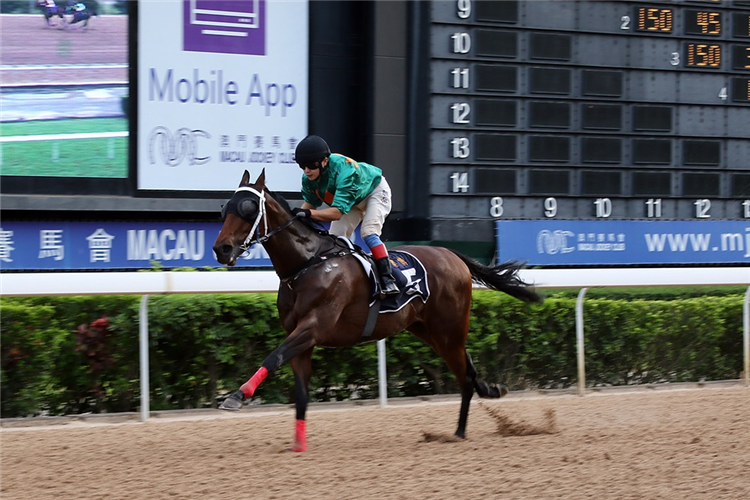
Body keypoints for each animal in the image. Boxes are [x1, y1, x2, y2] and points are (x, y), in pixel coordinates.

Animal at [212, 169, 540, 454]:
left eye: (248, 209)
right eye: (225, 209)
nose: (221, 249)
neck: (308, 263)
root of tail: (452, 254)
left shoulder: (313, 326)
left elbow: (274, 356)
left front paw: (236, 396)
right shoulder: (301, 338)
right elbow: (300, 392)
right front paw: (298, 446)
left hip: (450, 328)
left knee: (464, 375)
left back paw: (459, 431)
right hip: (430, 331)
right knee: (467, 370)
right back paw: (485, 396)